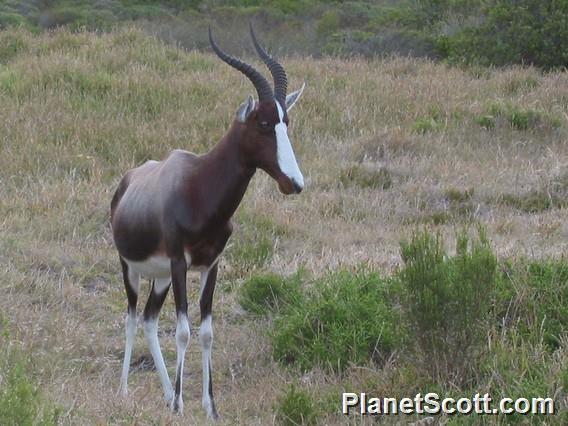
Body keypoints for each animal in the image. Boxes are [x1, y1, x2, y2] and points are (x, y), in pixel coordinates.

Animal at [110, 25, 306, 418]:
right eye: (264, 123)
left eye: (286, 122)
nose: (294, 182)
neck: (197, 186)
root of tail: (127, 182)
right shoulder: (179, 263)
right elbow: (183, 330)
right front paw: (181, 406)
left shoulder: (211, 265)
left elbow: (205, 332)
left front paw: (209, 406)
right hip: (131, 268)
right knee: (131, 318)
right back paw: (126, 392)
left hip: (159, 278)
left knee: (150, 320)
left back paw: (167, 395)